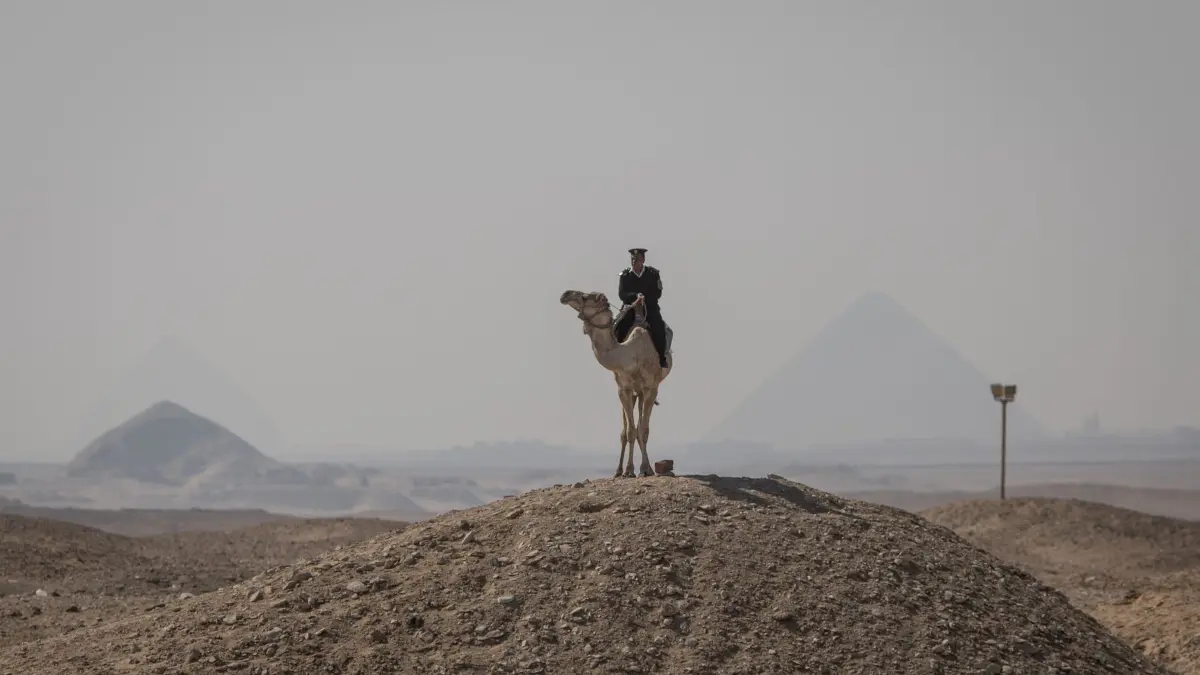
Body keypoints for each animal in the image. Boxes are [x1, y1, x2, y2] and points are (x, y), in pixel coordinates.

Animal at [559, 290, 673, 478]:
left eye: (586, 297)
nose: (565, 294)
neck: (631, 355)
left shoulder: (651, 388)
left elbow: (643, 430)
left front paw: (644, 469)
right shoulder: (623, 389)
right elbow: (630, 431)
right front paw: (628, 470)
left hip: (643, 391)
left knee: (641, 425)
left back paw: (647, 467)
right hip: (633, 392)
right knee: (628, 430)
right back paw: (620, 470)